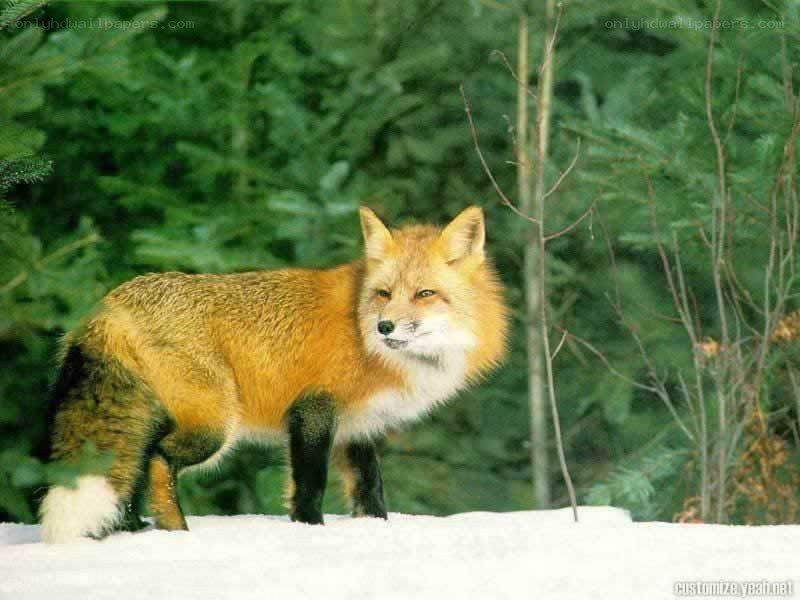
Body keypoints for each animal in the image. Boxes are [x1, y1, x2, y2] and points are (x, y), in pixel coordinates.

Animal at [39, 205, 508, 542]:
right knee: (158, 461)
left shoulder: (359, 426)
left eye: (425, 293)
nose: (385, 327)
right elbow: (310, 484)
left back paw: (133, 533)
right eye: (384, 293)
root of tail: (111, 302)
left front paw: (374, 532)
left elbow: (370, 490)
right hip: (214, 425)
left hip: (158, 420)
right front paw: (309, 531)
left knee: (134, 468)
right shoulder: (313, 411)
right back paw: (177, 533)